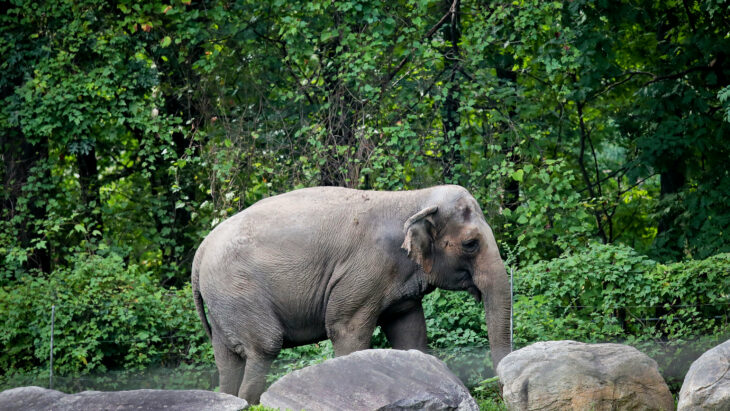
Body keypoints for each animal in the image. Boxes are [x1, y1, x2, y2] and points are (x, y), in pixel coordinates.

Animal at [191, 185, 510, 404]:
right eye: (470, 244)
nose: (499, 390)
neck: (413, 198)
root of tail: (201, 251)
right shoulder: (364, 272)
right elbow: (347, 331)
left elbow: (410, 334)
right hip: (239, 291)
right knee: (264, 347)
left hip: (223, 302)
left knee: (227, 360)